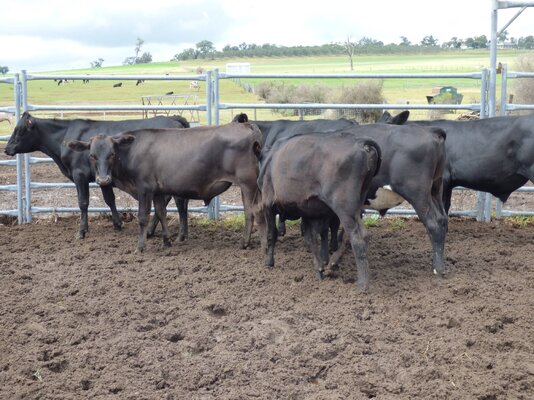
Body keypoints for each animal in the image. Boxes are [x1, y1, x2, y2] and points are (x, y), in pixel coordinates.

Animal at [67, 122, 264, 253]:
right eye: (92, 155)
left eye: (112, 154)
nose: (103, 179)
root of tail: (246, 125)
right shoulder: (157, 191)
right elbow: (161, 213)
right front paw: (167, 241)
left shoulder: (144, 188)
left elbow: (143, 217)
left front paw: (140, 247)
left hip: (247, 183)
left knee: (250, 212)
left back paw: (244, 243)